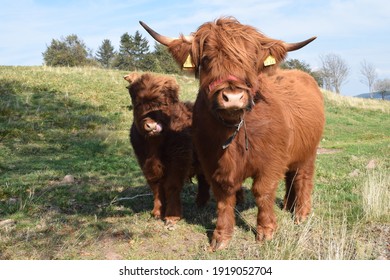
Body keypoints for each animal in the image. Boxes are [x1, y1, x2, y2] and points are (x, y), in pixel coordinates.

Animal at [125, 73, 210, 229]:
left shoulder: (178, 160)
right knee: (203, 180)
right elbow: (156, 185)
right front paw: (157, 212)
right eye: (138, 104)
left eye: (162, 104)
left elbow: (171, 185)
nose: (151, 125)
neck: (155, 143)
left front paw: (172, 216)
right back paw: (200, 203)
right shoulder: (146, 161)